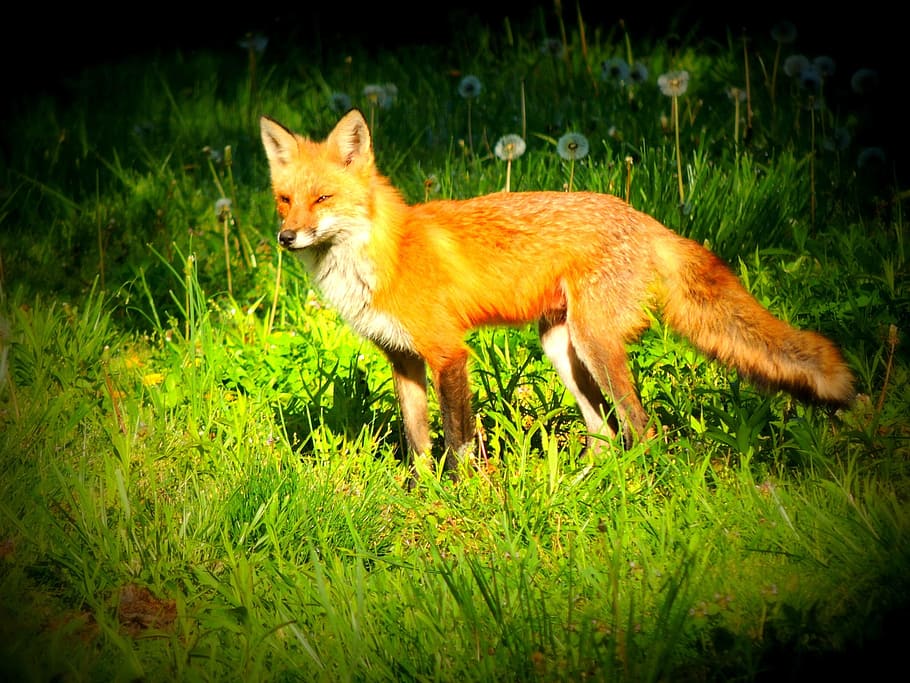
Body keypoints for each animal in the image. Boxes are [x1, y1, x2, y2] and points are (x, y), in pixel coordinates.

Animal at [260, 108, 855, 476]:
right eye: (285, 200)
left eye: (323, 198)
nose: (286, 237)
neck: (381, 255)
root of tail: (643, 218)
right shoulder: (403, 357)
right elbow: (418, 441)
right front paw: (422, 492)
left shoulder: (449, 353)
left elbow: (458, 440)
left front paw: (462, 496)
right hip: (560, 347)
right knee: (604, 433)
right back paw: (580, 486)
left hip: (594, 344)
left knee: (641, 430)